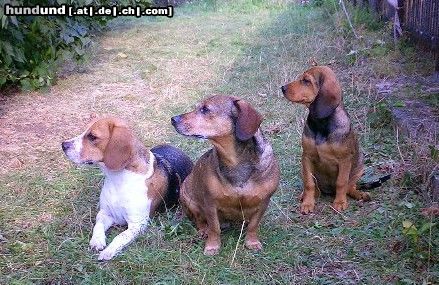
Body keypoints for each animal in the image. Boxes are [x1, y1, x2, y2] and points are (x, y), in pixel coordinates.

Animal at [62, 116, 192, 260]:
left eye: (92, 136)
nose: (63, 145)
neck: (118, 180)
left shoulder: (137, 224)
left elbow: (120, 236)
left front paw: (108, 251)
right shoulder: (105, 213)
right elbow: (98, 226)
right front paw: (97, 241)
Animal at [170, 95, 280, 255]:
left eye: (205, 109)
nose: (173, 119)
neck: (234, 161)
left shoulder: (264, 202)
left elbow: (254, 225)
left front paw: (252, 242)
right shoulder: (210, 204)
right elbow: (214, 227)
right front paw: (212, 246)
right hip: (189, 200)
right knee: (199, 220)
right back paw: (203, 230)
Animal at [282, 65, 372, 213]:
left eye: (306, 80)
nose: (282, 88)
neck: (321, 124)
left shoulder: (345, 159)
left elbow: (341, 182)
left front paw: (340, 202)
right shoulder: (307, 157)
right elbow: (309, 183)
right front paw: (308, 203)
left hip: (360, 166)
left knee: (350, 186)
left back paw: (360, 194)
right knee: (315, 186)